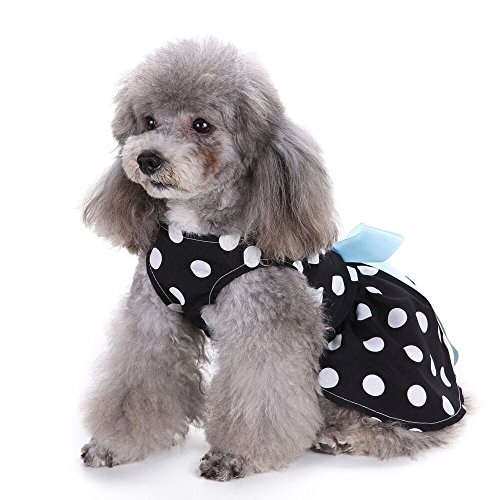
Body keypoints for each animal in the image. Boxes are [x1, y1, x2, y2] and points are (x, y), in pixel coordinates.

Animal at [81, 38, 465, 480]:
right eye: (148, 121)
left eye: (202, 125)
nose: (147, 159)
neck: (196, 234)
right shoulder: (153, 320)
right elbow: (137, 381)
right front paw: (112, 444)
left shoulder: (264, 328)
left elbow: (261, 396)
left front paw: (235, 456)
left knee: (416, 432)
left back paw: (347, 436)